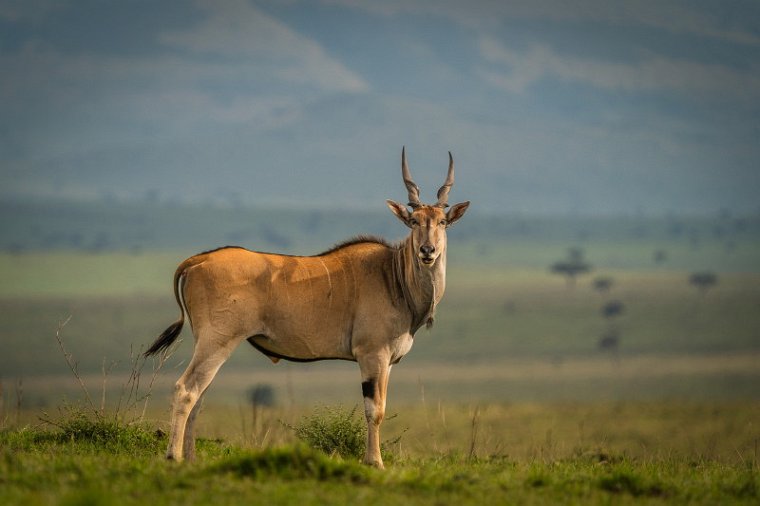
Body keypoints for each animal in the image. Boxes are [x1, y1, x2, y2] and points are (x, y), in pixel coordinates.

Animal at [144, 148, 470, 468]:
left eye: (442, 222)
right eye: (414, 221)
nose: (427, 251)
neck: (393, 275)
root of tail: (196, 260)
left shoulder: (387, 362)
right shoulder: (372, 355)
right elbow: (374, 410)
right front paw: (374, 462)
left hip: (208, 344)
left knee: (199, 397)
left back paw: (191, 459)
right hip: (217, 342)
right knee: (186, 390)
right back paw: (173, 456)